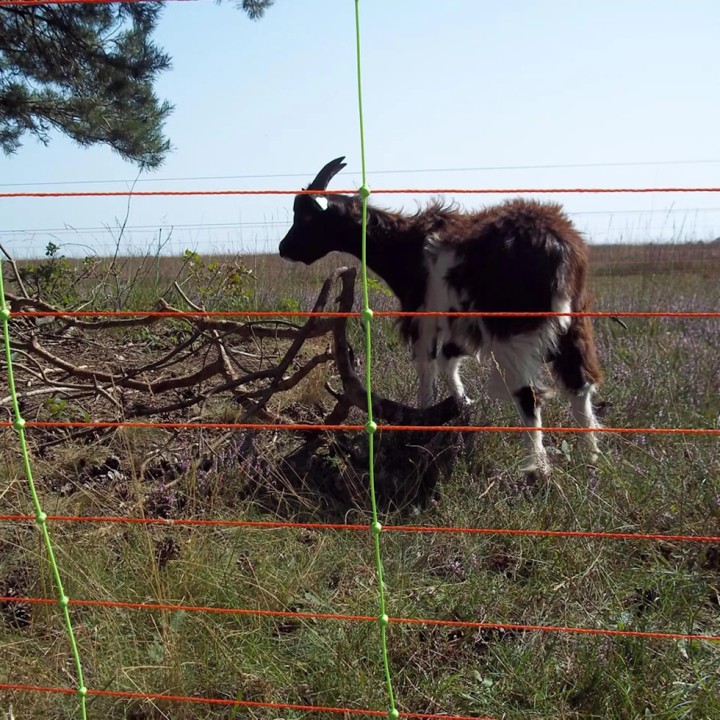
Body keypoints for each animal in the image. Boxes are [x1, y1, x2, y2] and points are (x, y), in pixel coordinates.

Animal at [279, 157, 602, 475]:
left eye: (306, 217)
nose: (284, 249)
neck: (405, 247)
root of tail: (559, 249)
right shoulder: (457, 322)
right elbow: (449, 361)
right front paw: (463, 409)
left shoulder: (423, 317)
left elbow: (427, 368)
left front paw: (423, 424)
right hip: (576, 320)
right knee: (580, 383)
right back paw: (592, 459)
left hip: (511, 329)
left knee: (528, 394)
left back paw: (537, 466)